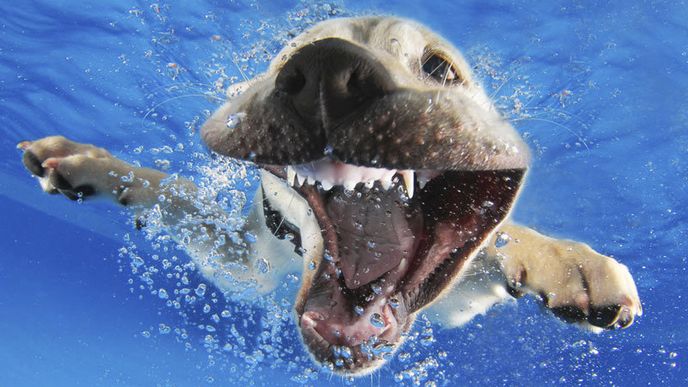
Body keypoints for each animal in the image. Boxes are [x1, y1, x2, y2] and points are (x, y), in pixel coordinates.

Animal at [17, 16, 640, 378]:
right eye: (286, 56)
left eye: (439, 68)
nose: (327, 71)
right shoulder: (239, 260)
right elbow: (174, 190)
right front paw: (84, 161)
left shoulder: (457, 296)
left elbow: (496, 240)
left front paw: (570, 264)